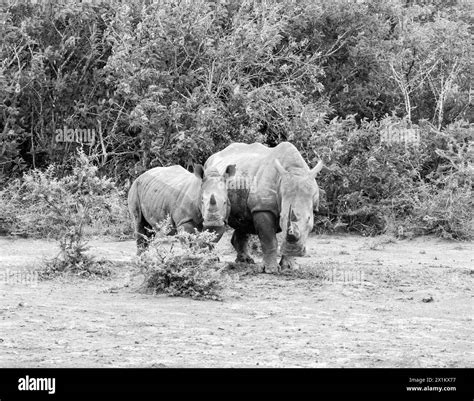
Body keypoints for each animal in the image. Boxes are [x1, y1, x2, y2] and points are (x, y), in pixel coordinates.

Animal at [206, 141, 324, 272]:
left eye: (309, 219)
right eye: (282, 217)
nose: (295, 250)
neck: (295, 170)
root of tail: (212, 157)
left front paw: (289, 267)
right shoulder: (262, 207)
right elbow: (268, 240)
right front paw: (271, 270)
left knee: (243, 222)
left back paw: (245, 261)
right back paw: (211, 260)